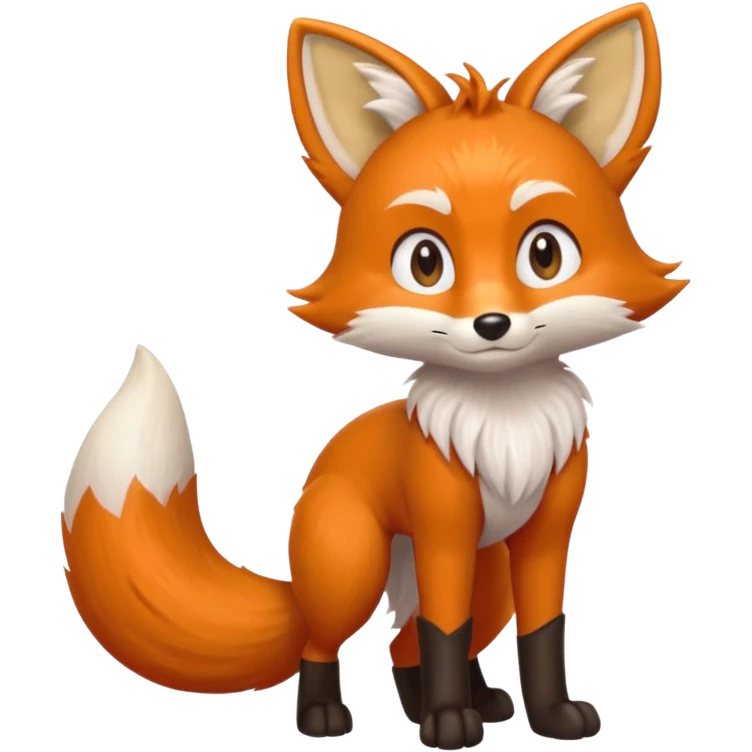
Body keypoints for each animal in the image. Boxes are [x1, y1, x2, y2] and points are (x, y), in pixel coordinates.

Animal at [61, 3, 686, 749]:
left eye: (545, 253)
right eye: (425, 262)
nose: (493, 324)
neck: (506, 424)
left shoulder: (543, 536)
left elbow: (542, 634)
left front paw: (551, 717)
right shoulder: (445, 528)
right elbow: (447, 629)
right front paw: (448, 725)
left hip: (490, 575)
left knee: (405, 642)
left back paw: (466, 703)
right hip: (354, 561)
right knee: (332, 640)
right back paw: (333, 716)